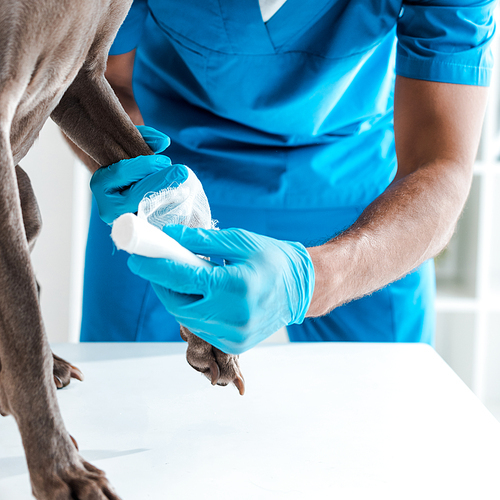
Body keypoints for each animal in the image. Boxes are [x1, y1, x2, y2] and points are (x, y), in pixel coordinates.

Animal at [0, 1, 242, 498]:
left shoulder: (84, 76)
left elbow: (145, 165)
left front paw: (207, 324)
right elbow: (23, 325)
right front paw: (61, 471)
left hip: (27, 199)